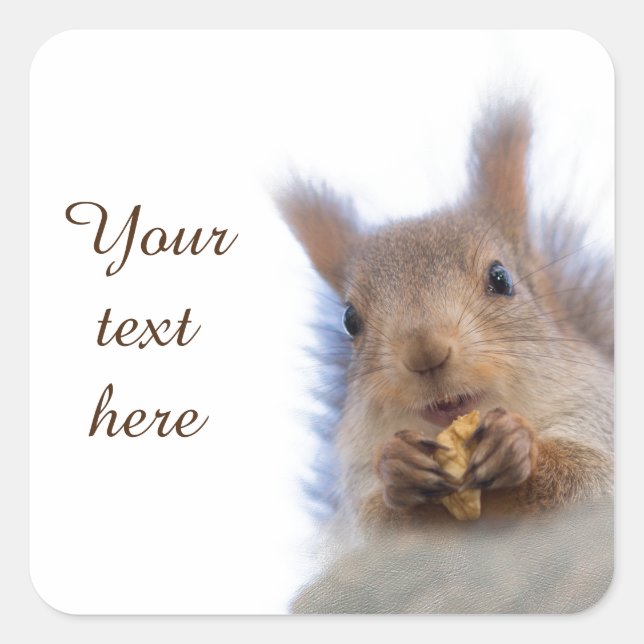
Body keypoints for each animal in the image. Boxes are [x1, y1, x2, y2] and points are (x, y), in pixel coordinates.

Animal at [276, 101, 613, 545]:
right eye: (349, 320)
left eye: (501, 278)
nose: (425, 353)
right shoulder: (357, 490)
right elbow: (377, 522)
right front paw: (397, 468)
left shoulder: (597, 414)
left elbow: (590, 475)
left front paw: (516, 444)